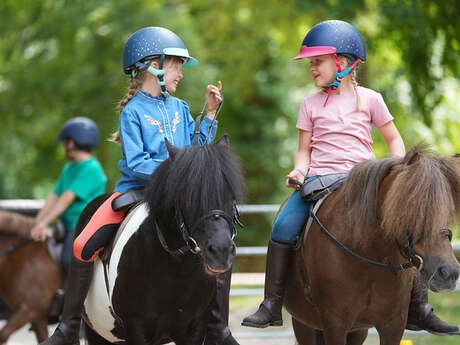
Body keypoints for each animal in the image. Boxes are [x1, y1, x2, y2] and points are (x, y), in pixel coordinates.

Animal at [79, 136, 246, 342]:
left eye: (231, 196)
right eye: (188, 196)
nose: (221, 252)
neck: (176, 271)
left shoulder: (195, 328)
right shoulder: (136, 328)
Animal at [284, 146, 460, 344]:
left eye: (446, 210)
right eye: (411, 207)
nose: (449, 273)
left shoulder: (393, 326)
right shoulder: (334, 325)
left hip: (357, 330)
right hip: (303, 323)